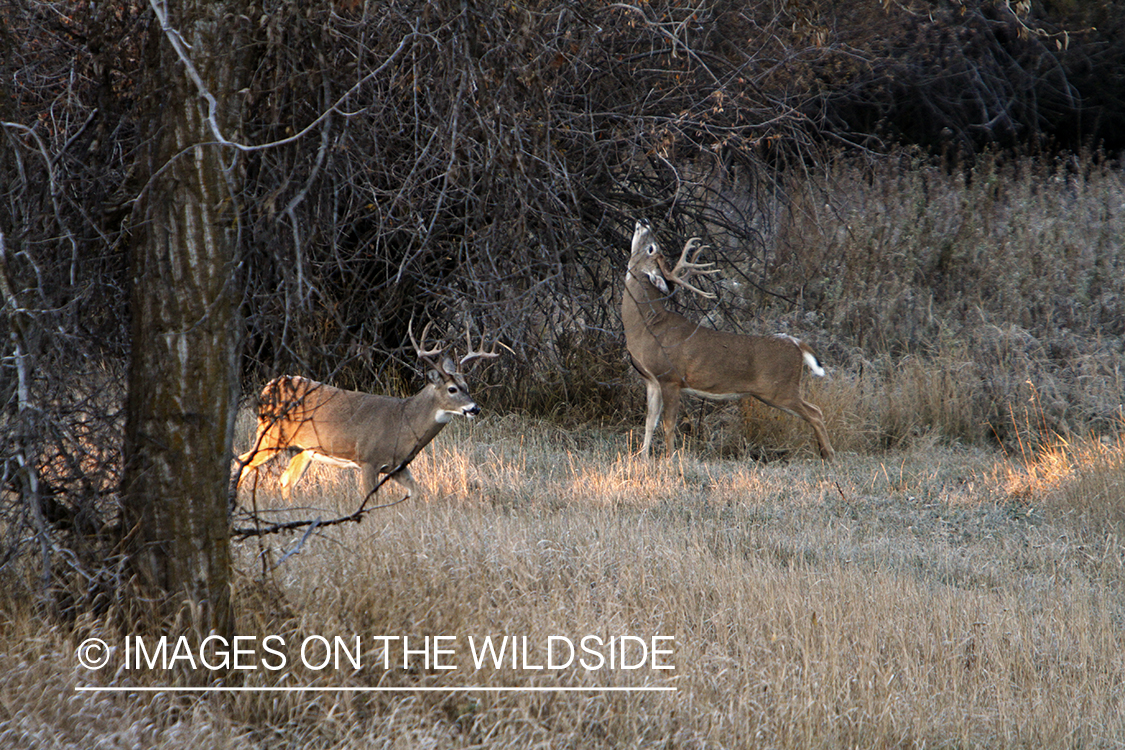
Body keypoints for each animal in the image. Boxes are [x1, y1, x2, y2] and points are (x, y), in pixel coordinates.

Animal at [235, 319, 499, 501]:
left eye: (467, 387)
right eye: (452, 389)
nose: (474, 408)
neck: (404, 424)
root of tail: (269, 386)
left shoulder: (397, 467)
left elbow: (417, 492)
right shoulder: (368, 459)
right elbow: (369, 500)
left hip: (304, 449)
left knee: (286, 480)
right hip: (270, 434)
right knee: (243, 463)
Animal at [625, 220, 837, 461]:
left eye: (651, 248)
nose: (644, 222)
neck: (647, 326)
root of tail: (795, 343)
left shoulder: (670, 377)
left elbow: (669, 424)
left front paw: (670, 459)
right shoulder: (652, 380)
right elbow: (650, 422)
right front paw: (643, 458)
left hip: (780, 389)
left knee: (815, 412)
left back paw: (829, 456)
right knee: (815, 412)